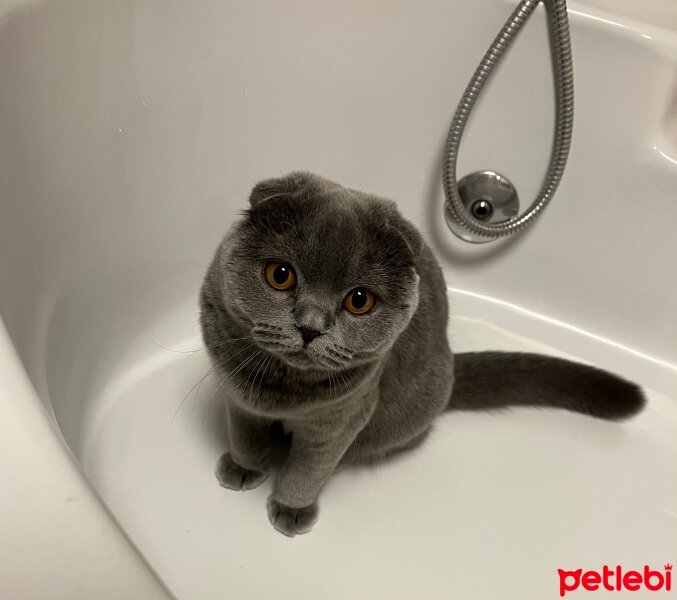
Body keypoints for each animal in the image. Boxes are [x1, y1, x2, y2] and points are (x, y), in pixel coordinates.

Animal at [199, 171, 644, 536]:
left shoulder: (342, 418)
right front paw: (243, 467)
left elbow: (310, 468)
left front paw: (292, 508)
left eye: (359, 300)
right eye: (280, 275)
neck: (282, 388)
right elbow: (244, 437)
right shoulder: (236, 395)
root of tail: (451, 366)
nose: (311, 327)